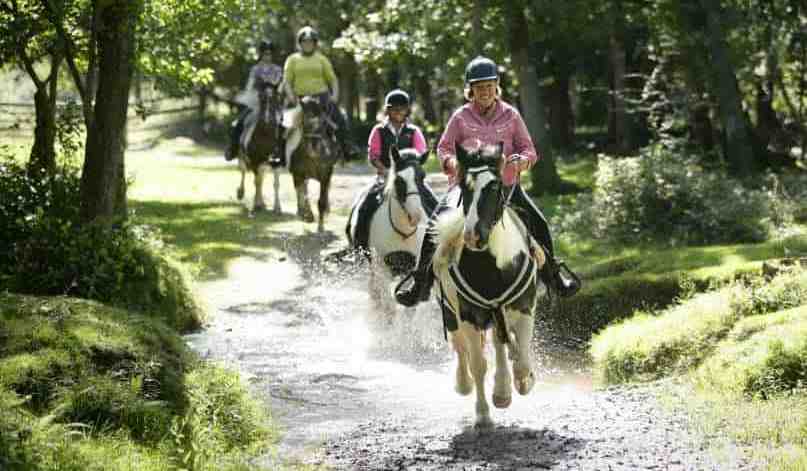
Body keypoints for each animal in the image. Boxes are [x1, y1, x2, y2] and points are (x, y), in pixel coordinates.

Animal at [346, 146, 436, 312]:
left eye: (422, 177)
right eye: (398, 180)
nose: (415, 216)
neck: (403, 233)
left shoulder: (411, 267)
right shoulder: (380, 268)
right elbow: (388, 307)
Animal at [432, 140, 548, 428]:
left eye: (494, 186)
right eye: (464, 187)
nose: (473, 236)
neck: (493, 266)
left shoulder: (524, 307)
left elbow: (520, 356)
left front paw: (524, 380)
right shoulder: (469, 316)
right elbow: (478, 364)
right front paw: (483, 414)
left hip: (497, 313)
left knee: (499, 343)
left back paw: (504, 389)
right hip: (451, 312)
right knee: (462, 348)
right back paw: (468, 385)